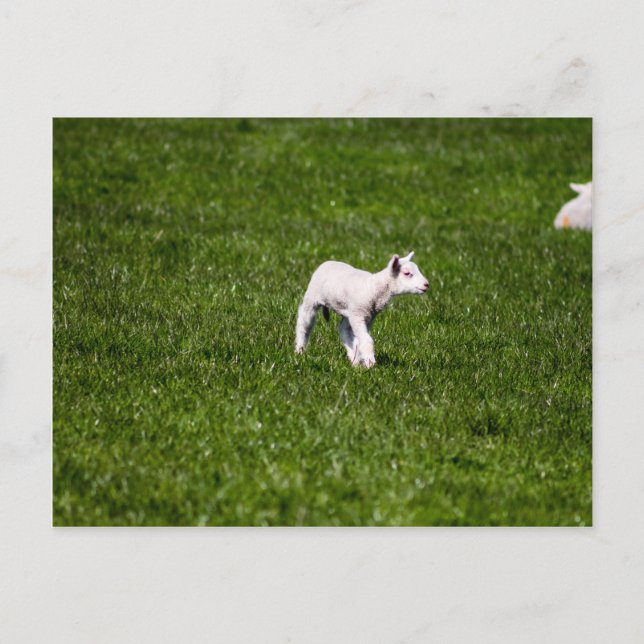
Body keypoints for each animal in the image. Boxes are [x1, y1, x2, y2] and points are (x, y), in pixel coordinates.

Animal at [295, 252, 429, 368]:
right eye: (407, 273)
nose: (427, 284)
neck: (372, 287)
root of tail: (327, 262)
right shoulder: (358, 315)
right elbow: (366, 340)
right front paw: (370, 364)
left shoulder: (368, 316)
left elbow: (360, 340)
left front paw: (361, 361)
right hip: (312, 297)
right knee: (305, 323)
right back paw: (299, 351)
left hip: (349, 311)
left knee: (344, 330)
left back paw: (353, 359)